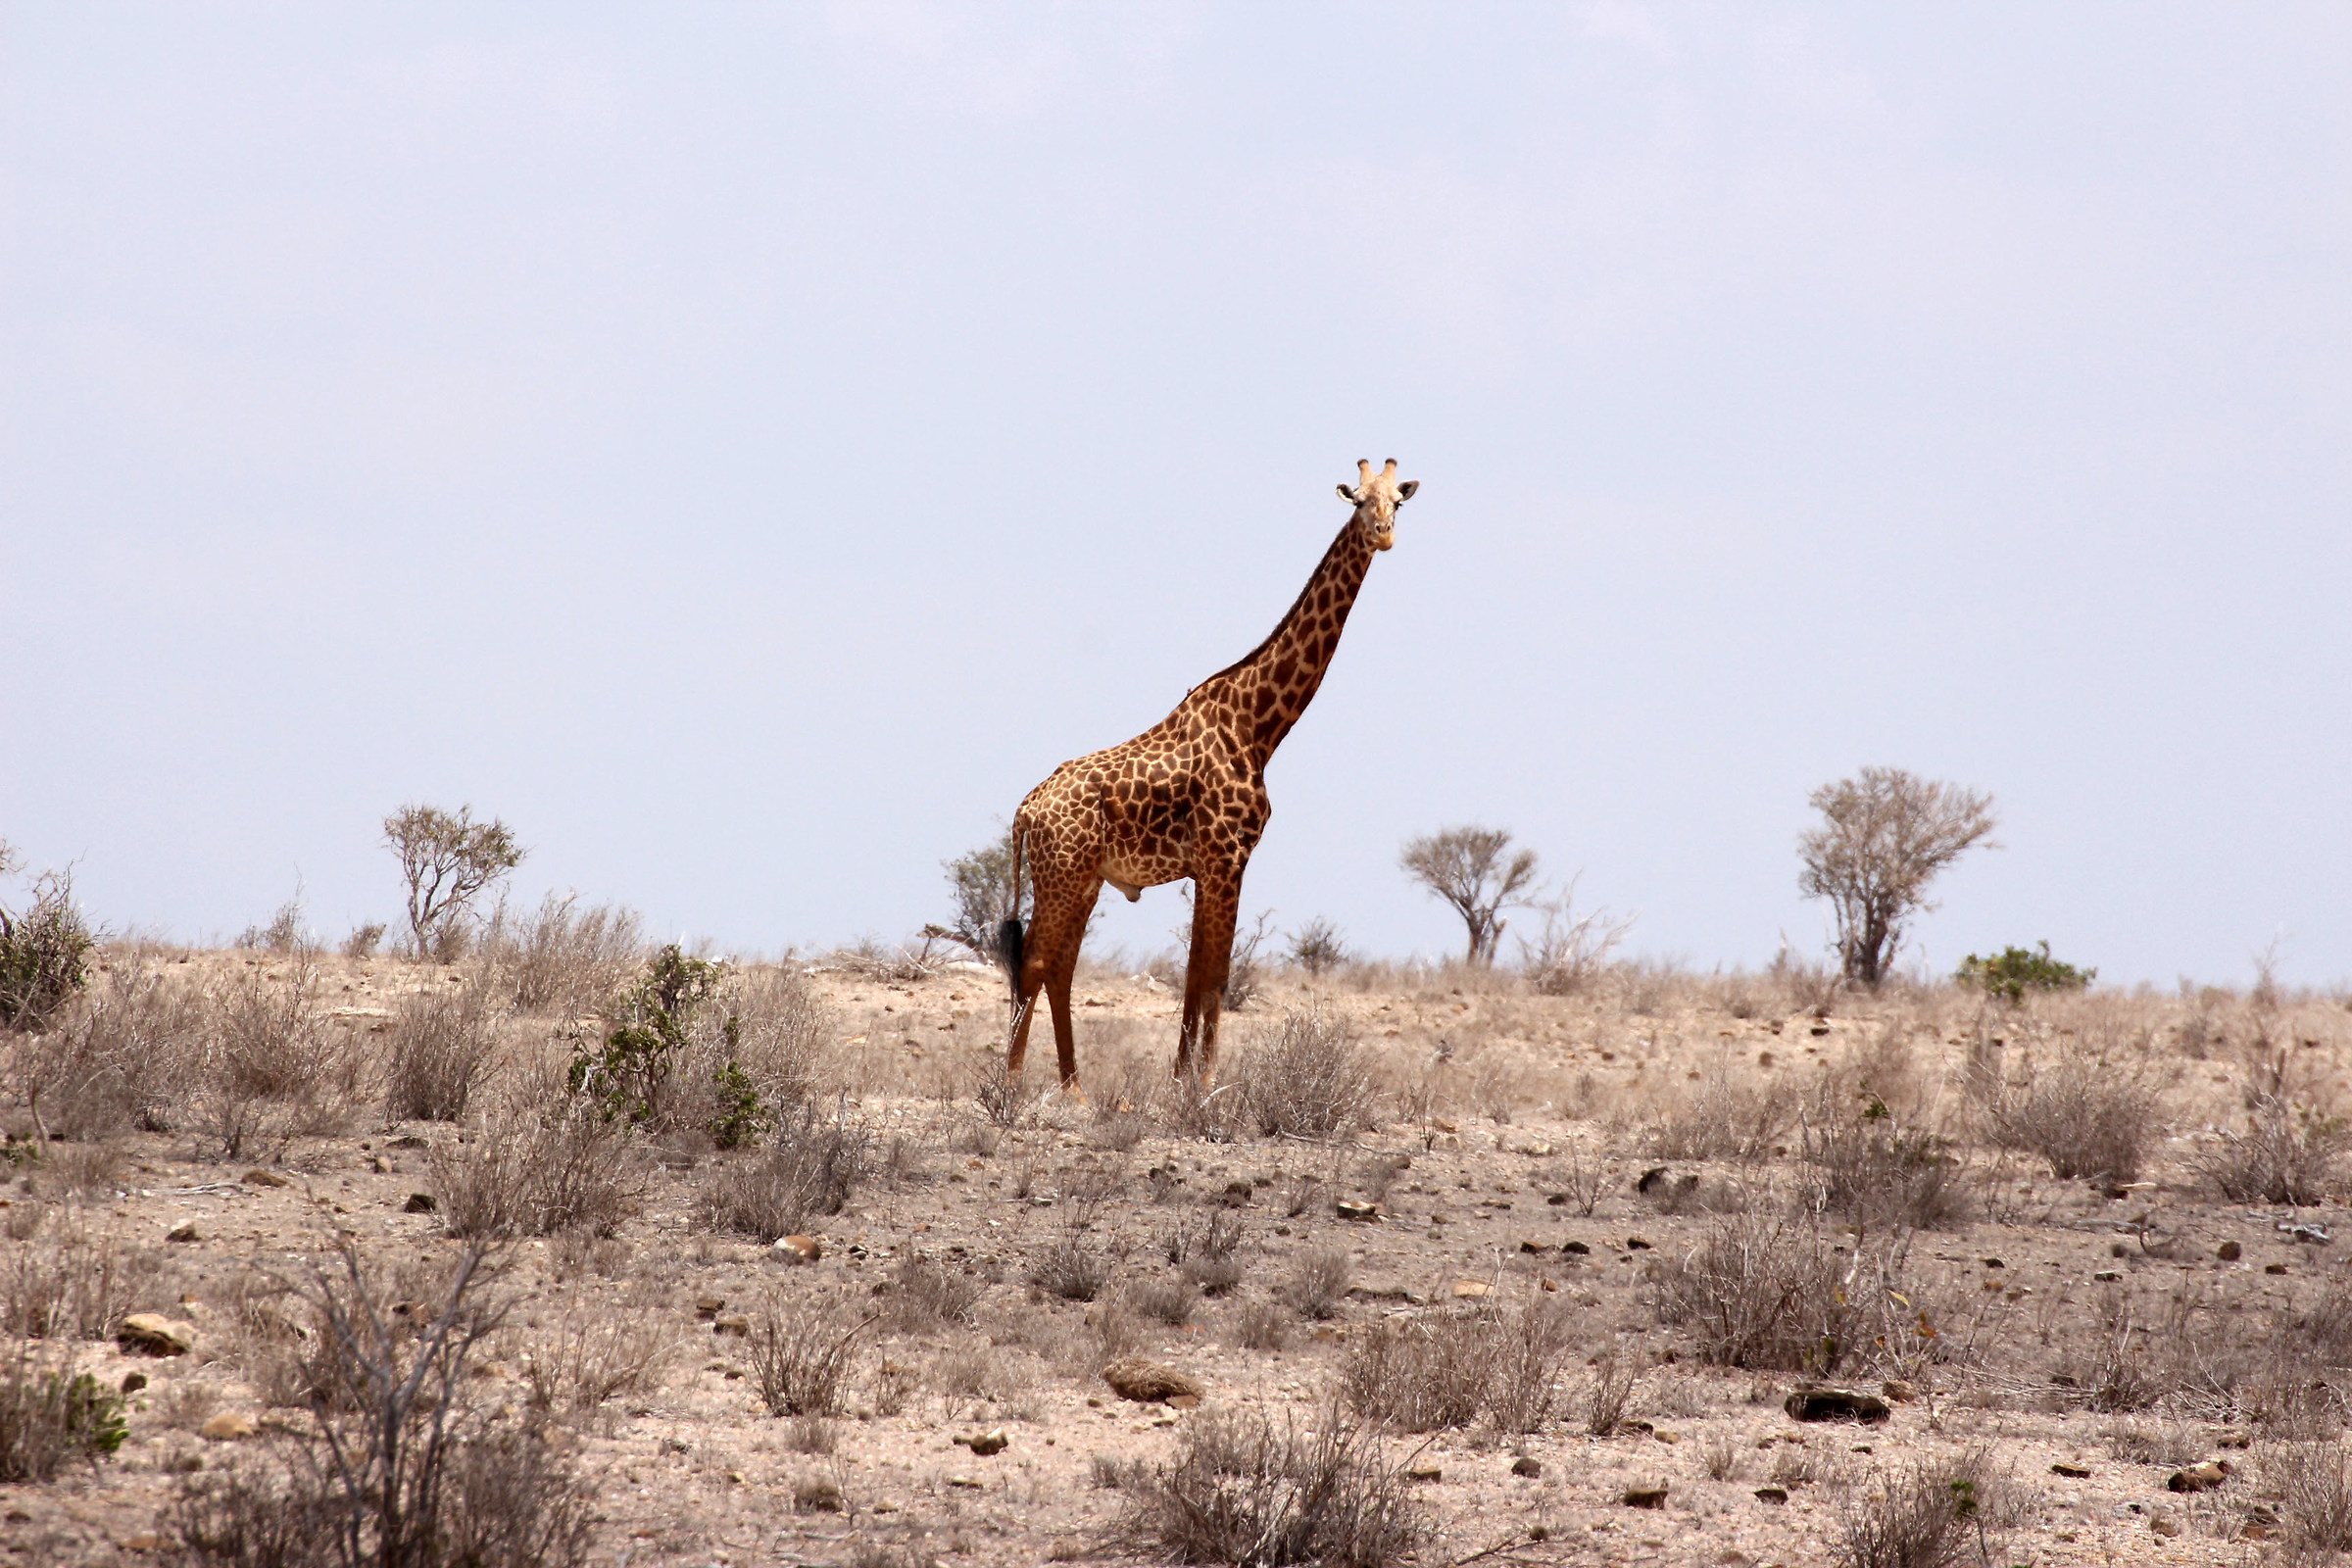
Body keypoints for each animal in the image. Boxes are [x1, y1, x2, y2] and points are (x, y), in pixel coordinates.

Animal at [1000, 459, 1419, 1094]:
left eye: (1399, 500)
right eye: (1358, 501)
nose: (1385, 534)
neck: (1260, 727)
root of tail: (1026, 808)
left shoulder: (1209, 865)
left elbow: (1197, 972)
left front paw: (1180, 1080)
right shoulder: (1227, 857)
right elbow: (1216, 975)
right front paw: (1207, 1086)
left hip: (1083, 879)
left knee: (1060, 966)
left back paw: (1075, 1089)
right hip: (1062, 875)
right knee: (1037, 961)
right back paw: (1012, 1086)